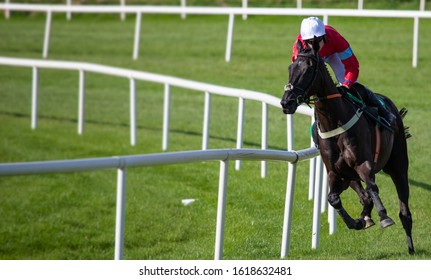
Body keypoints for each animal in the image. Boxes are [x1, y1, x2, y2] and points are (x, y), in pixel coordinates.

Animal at [280, 40, 416, 255]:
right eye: (290, 67)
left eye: (308, 69)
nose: (286, 102)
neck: (334, 122)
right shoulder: (335, 172)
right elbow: (333, 198)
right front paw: (356, 222)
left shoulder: (363, 164)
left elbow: (372, 187)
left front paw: (384, 217)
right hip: (350, 176)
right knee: (364, 197)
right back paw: (366, 217)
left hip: (398, 166)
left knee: (404, 210)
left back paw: (410, 246)